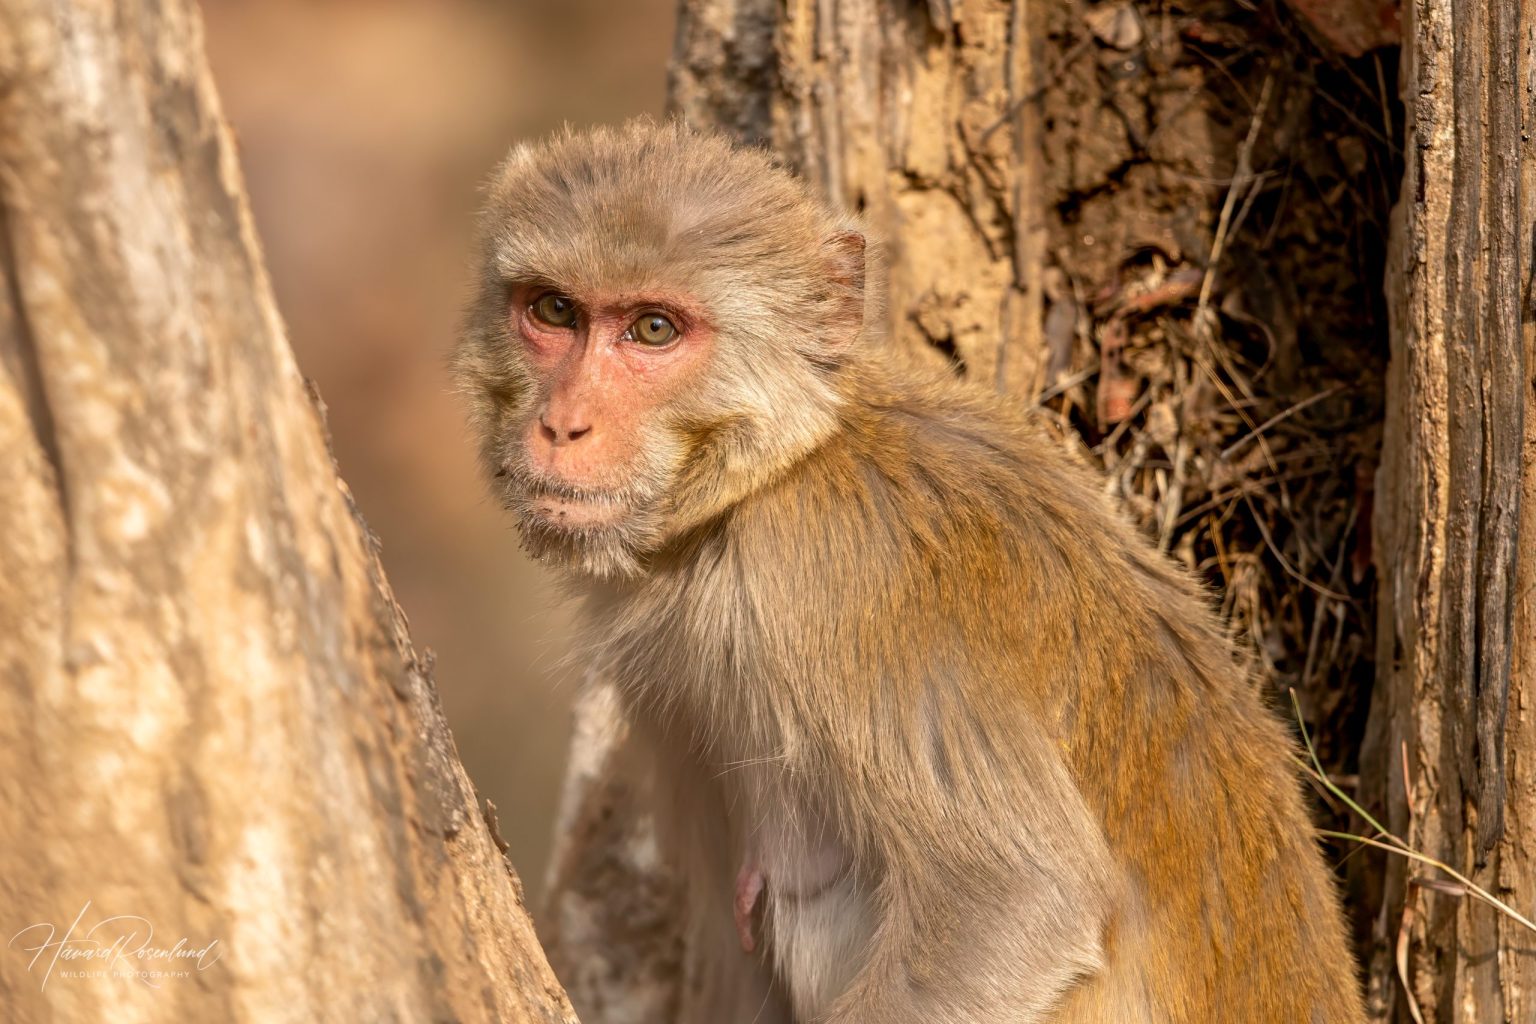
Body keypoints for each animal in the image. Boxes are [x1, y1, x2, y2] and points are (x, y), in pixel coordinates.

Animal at [455, 119, 1368, 1024]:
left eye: (653, 329)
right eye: (554, 311)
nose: (563, 424)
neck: (767, 479)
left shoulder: (832, 574)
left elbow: (1016, 900)